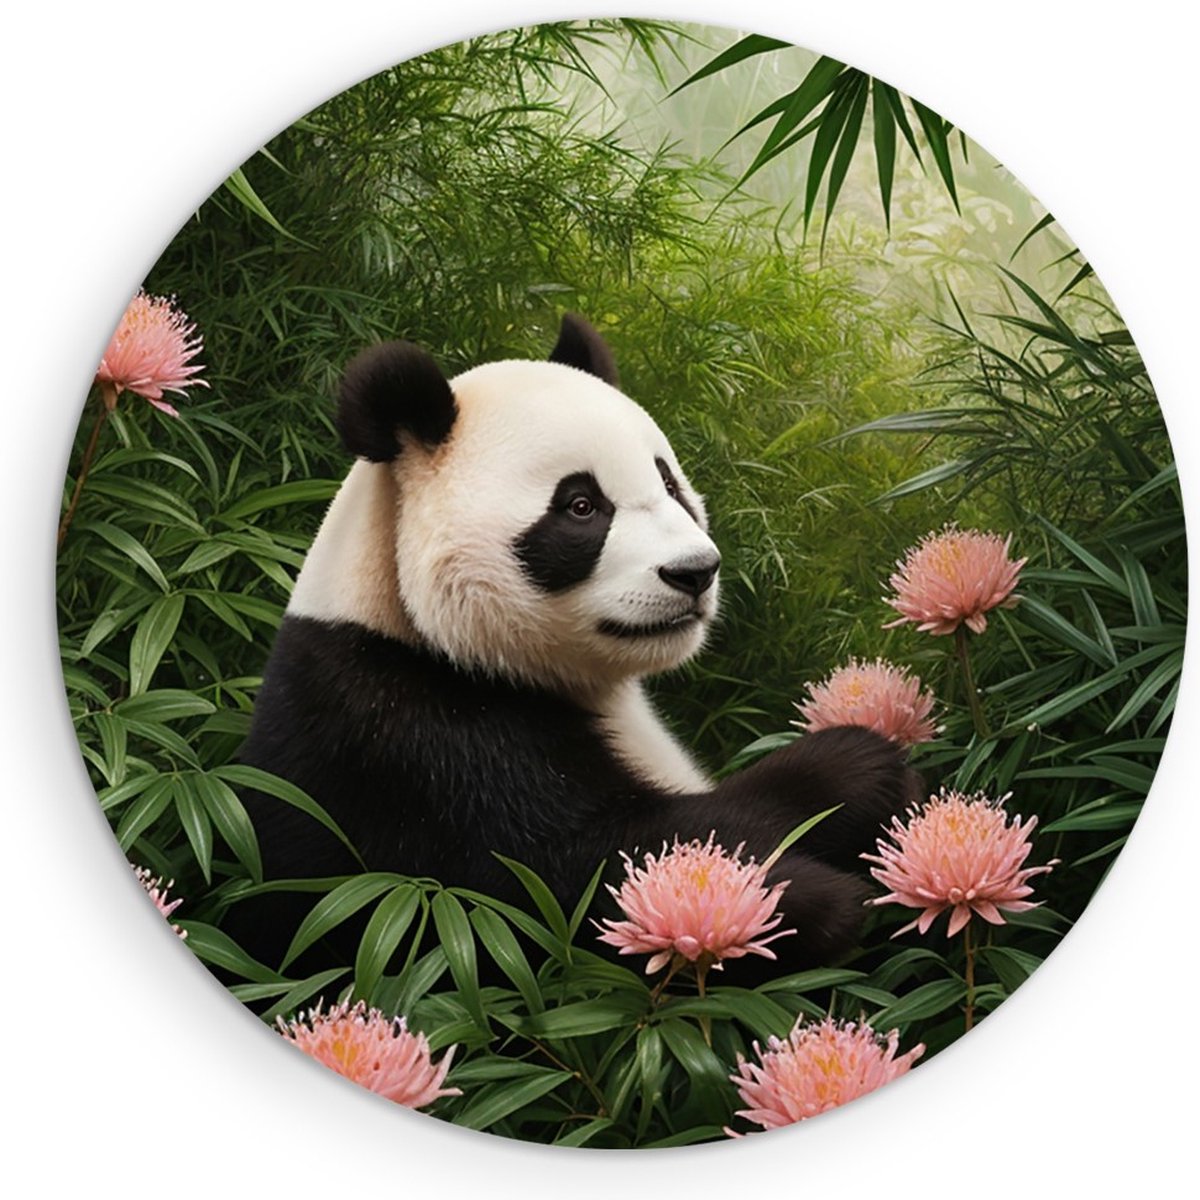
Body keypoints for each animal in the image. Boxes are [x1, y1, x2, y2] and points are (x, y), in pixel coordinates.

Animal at [234, 314, 922, 972]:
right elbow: (573, 877)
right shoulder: (412, 747)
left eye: (670, 485)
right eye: (581, 506)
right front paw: (836, 826)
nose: (695, 572)